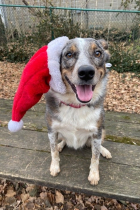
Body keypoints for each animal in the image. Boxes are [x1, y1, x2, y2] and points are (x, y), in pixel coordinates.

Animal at [45, 38, 112, 185]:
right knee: (62, 140)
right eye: (69, 54)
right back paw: (61, 145)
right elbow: (53, 151)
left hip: (103, 130)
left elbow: (95, 157)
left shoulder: (96, 132)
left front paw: (94, 175)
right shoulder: (52, 130)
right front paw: (54, 167)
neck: (76, 105)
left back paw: (104, 151)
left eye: (98, 53)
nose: (86, 72)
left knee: (97, 145)